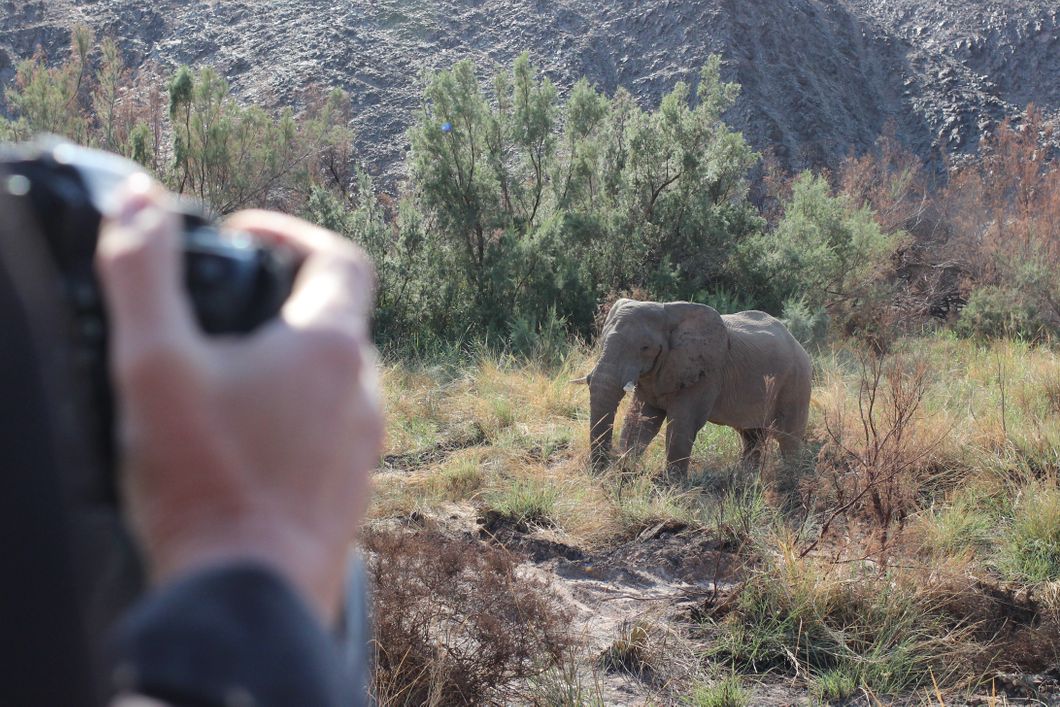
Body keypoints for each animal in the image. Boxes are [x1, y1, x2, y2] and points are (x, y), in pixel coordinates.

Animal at [574, 299, 812, 476]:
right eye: (602, 340)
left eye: (645, 348)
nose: (605, 467)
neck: (667, 311)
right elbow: (641, 420)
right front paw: (625, 469)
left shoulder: (706, 373)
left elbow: (683, 423)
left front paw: (671, 486)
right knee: (752, 436)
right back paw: (746, 478)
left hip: (796, 384)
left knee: (788, 439)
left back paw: (790, 480)